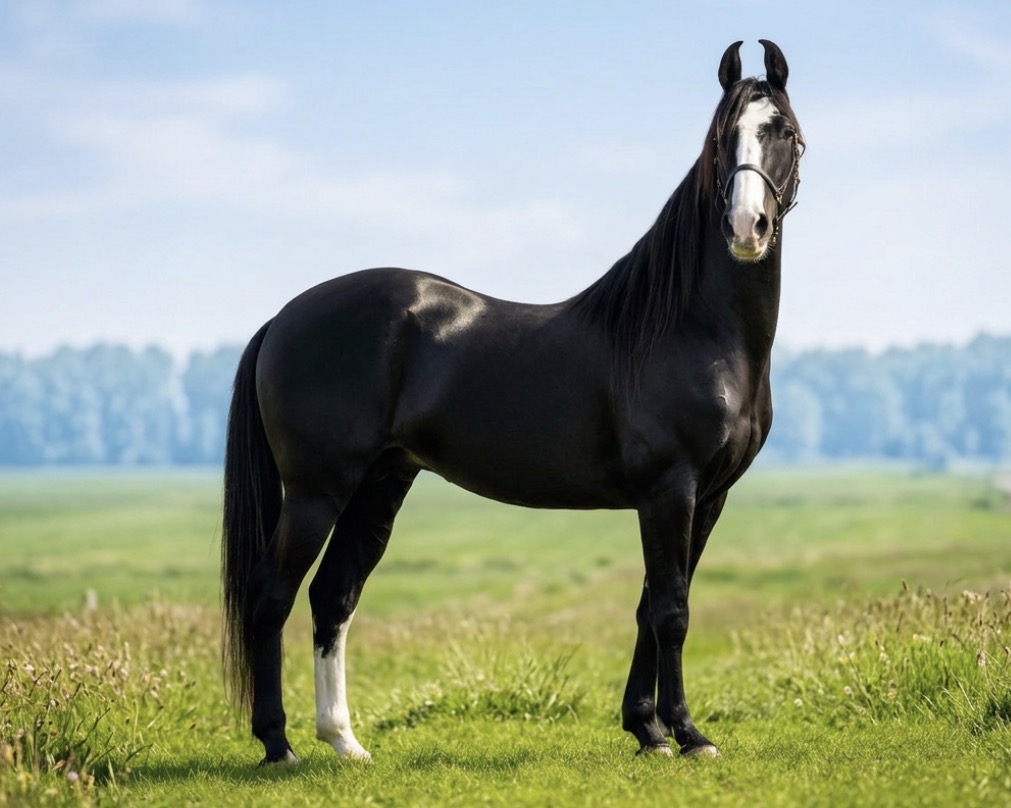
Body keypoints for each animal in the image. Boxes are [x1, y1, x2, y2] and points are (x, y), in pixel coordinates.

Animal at [221, 39, 803, 765]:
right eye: (723, 138)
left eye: (782, 131)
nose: (746, 227)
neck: (688, 327)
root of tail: (282, 318)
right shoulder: (671, 487)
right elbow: (672, 610)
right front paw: (688, 734)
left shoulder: (707, 494)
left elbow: (651, 606)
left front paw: (646, 730)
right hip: (313, 491)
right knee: (272, 596)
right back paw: (278, 744)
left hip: (379, 483)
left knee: (334, 596)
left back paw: (345, 742)